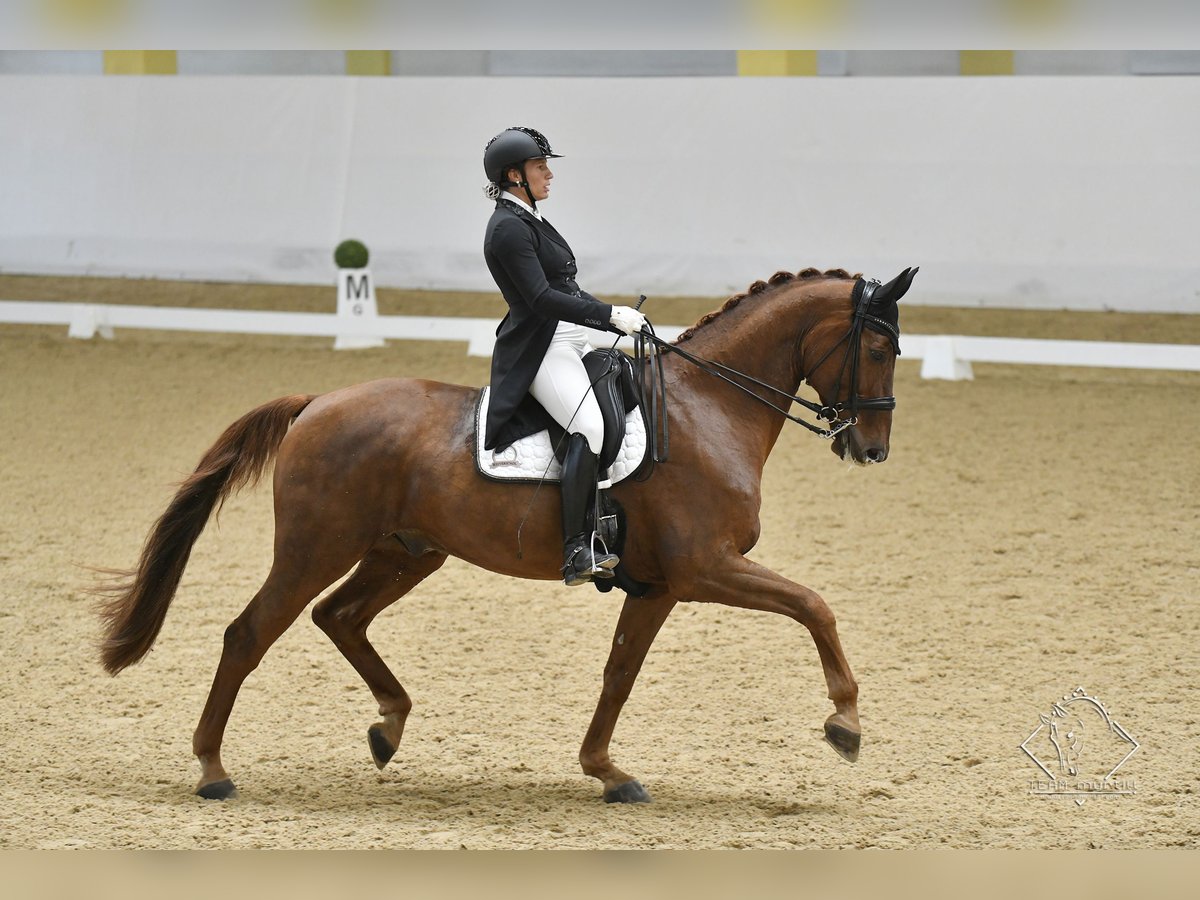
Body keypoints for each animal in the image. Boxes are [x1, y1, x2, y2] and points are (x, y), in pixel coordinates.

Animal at [98, 266, 916, 801]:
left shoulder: (659, 585)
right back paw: (213, 771)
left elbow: (620, 673)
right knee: (250, 634)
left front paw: (607, 772)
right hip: (315, 547)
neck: (710, 407)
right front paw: (845, 723)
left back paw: (388, 728)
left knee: (340, 617)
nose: (873, 448)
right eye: (879, 350)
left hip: (405, 553)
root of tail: (319, 401)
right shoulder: (704, 568)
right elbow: (815, 606)